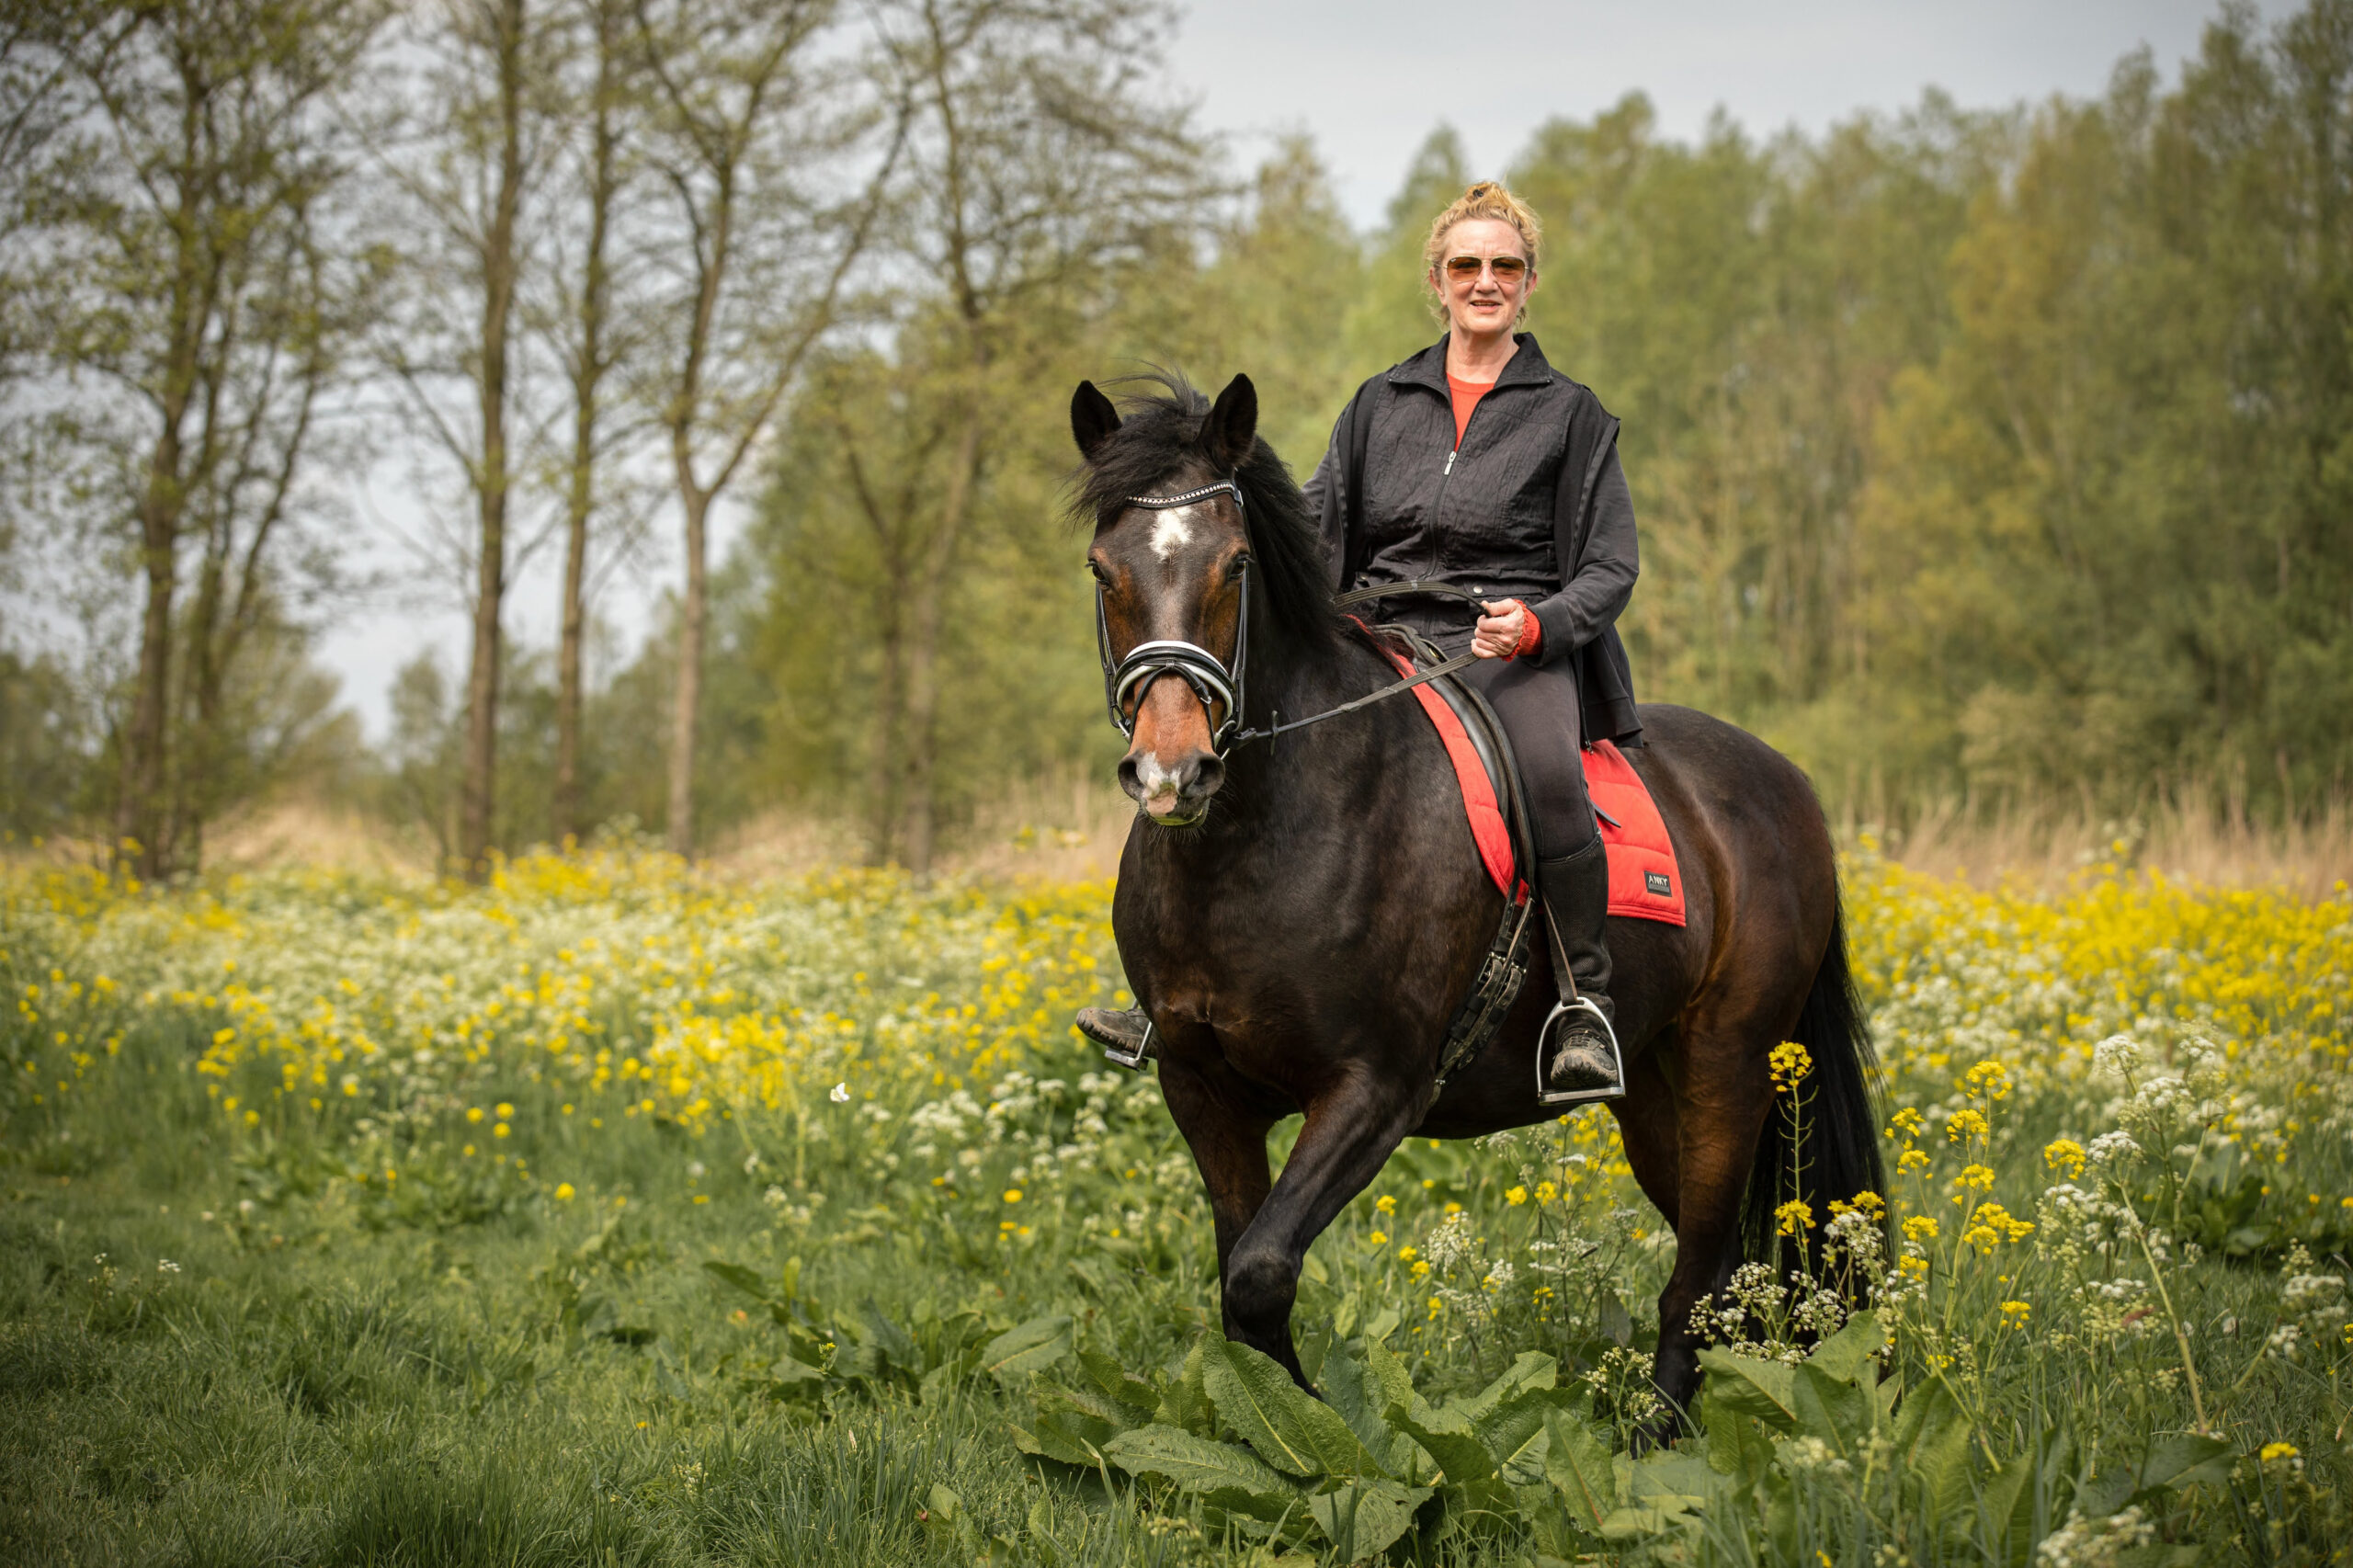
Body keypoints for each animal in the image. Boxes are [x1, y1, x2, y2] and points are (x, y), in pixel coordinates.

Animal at [1077, 369, 1882, 1431]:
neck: (1265, 839)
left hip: (1730, 1068)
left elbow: (1258, 1274)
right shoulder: (1202, 1089)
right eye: (1102, 569)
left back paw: (1657, 1438)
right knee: (1723, 1269)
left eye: (1237, 562)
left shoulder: (1374, 1089)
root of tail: (1789, 787)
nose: (1172, 770)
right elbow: (1241, 1291)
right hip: (1654, 1090)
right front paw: (1276, 1432)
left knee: (1702, 1274)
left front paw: (1317, 1430)